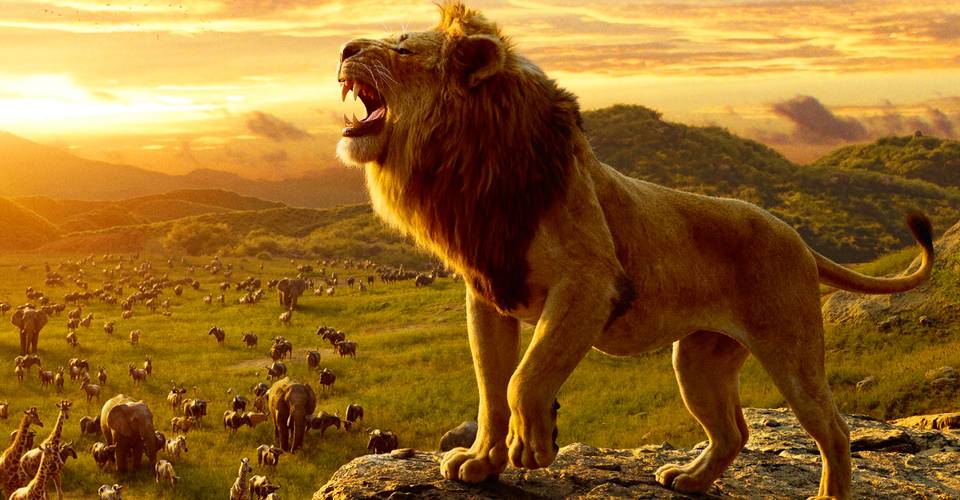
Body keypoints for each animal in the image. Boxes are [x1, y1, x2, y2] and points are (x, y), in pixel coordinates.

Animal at [333, 3, 934, 498]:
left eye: (402, 49)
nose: (343, 49)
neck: (469, 168)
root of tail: (799, 239)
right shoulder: (487, 292)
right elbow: (491, 387)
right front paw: (481, 463)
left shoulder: (590, 282)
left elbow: (527, 375)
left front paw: (534, 446)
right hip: (698, 360)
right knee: (734, 431)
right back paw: (690, 479)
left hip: (792, 350)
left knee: (833, 428)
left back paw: (825, 493)